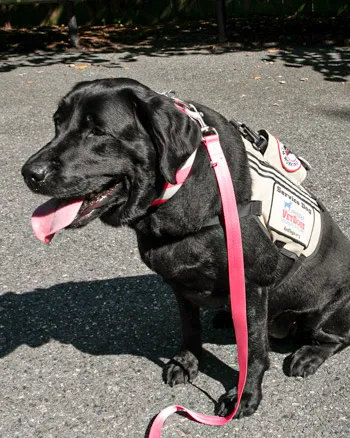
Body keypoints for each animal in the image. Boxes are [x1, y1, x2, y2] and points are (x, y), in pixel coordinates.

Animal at [21, 78, 350, 418]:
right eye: (57, 123)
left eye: (98, 131)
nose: (30, 173)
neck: (177, 188)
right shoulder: (181, 283)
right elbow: (190, 329)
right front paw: (186, 362)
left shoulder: (252, 286)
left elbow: (254, 351)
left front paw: (245, 395)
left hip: (321, 313)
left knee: (337, 339)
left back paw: (307, 355)